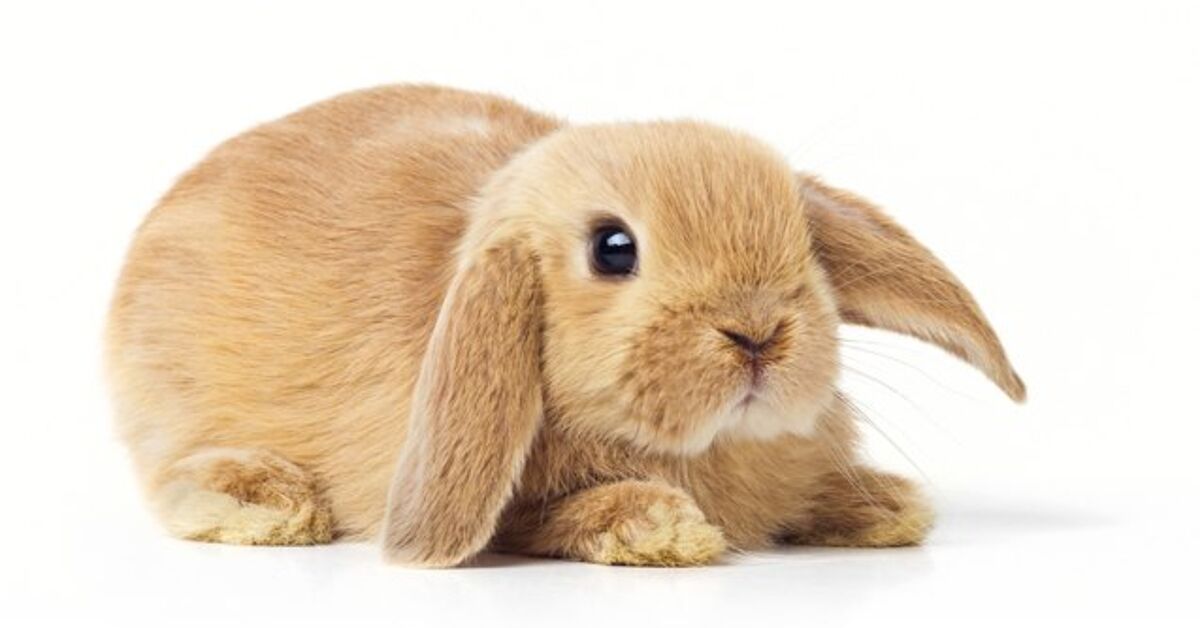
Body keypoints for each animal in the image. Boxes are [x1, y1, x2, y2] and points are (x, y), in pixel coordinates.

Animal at [107, 84, 1024, 567]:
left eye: (804, 239)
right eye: (614, 249)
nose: (758, 331)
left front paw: (882, 505)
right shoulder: (509, 507)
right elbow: (545, 515)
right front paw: (660, 524)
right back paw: (270, 503)